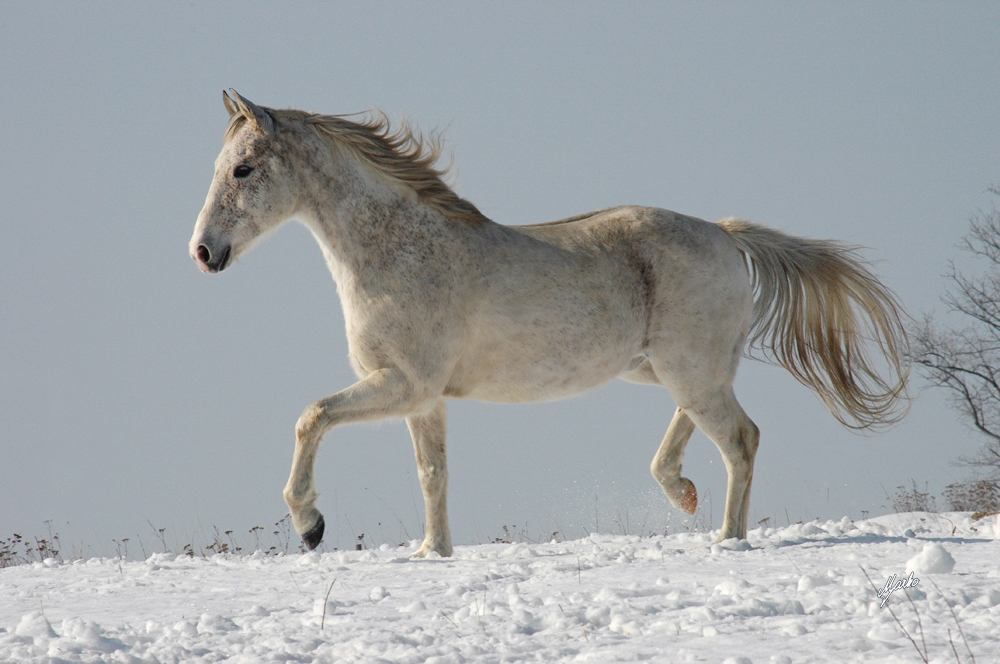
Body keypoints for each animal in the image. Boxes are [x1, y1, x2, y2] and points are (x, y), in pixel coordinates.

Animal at [188, 88, 908, 556]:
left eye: (243, 169)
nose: (203, 252)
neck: (396, 250)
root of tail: (727, 235)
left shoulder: (403, 384)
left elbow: (312, 416)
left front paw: (310, 525)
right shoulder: (423, 398)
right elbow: (432, 474)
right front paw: (432, 554)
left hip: (687, 369)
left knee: (740, 438)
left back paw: (727, 541)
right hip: (664, 369)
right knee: (707, 423)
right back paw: (680, 492)